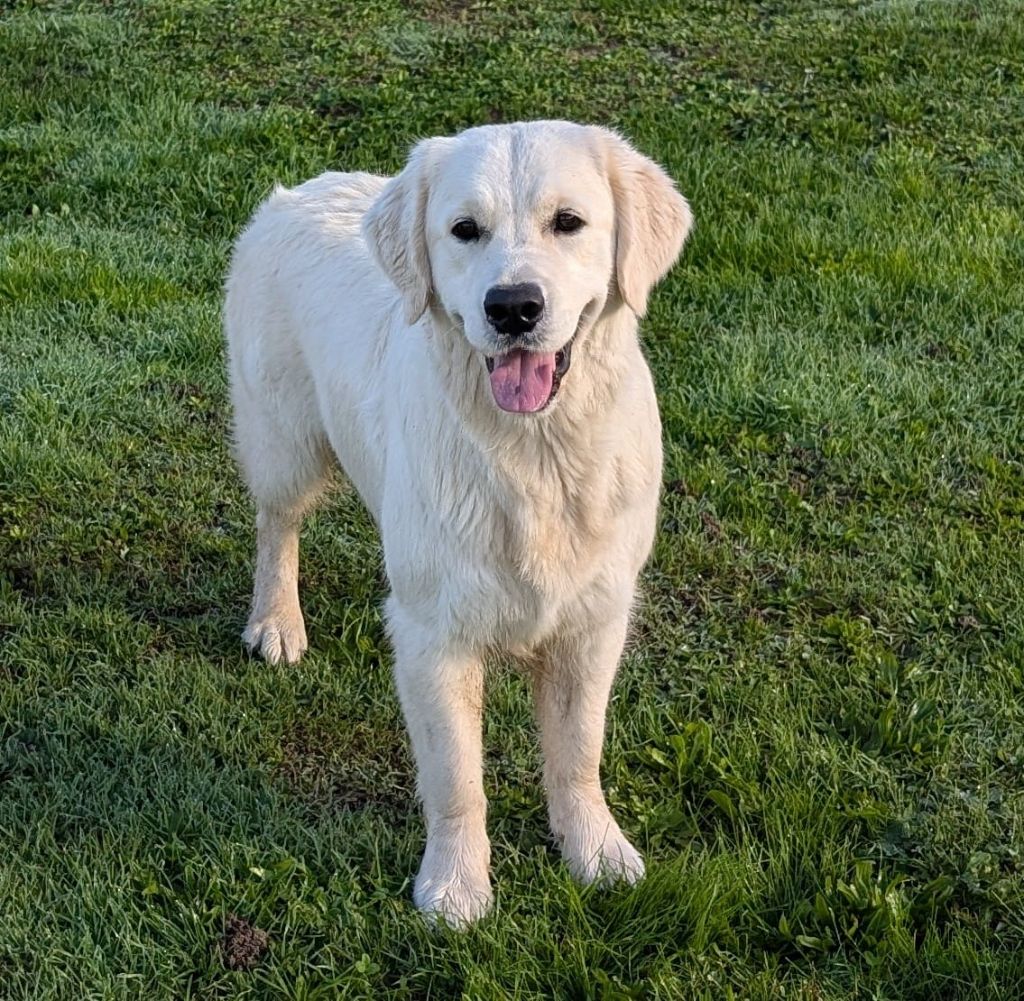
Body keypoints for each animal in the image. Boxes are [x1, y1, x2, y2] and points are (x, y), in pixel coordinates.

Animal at [222, 120, 688, 925]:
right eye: (465, 230)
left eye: (569, 222)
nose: (514, 307)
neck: (534, 455)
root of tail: (296, 190)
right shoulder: (434, 636)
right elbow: (456, 778)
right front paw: (456, 887)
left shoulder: (594, 619)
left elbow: (578, 754)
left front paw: (595, 851)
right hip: (285, 442)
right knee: (277, 526)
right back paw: (277, 622)